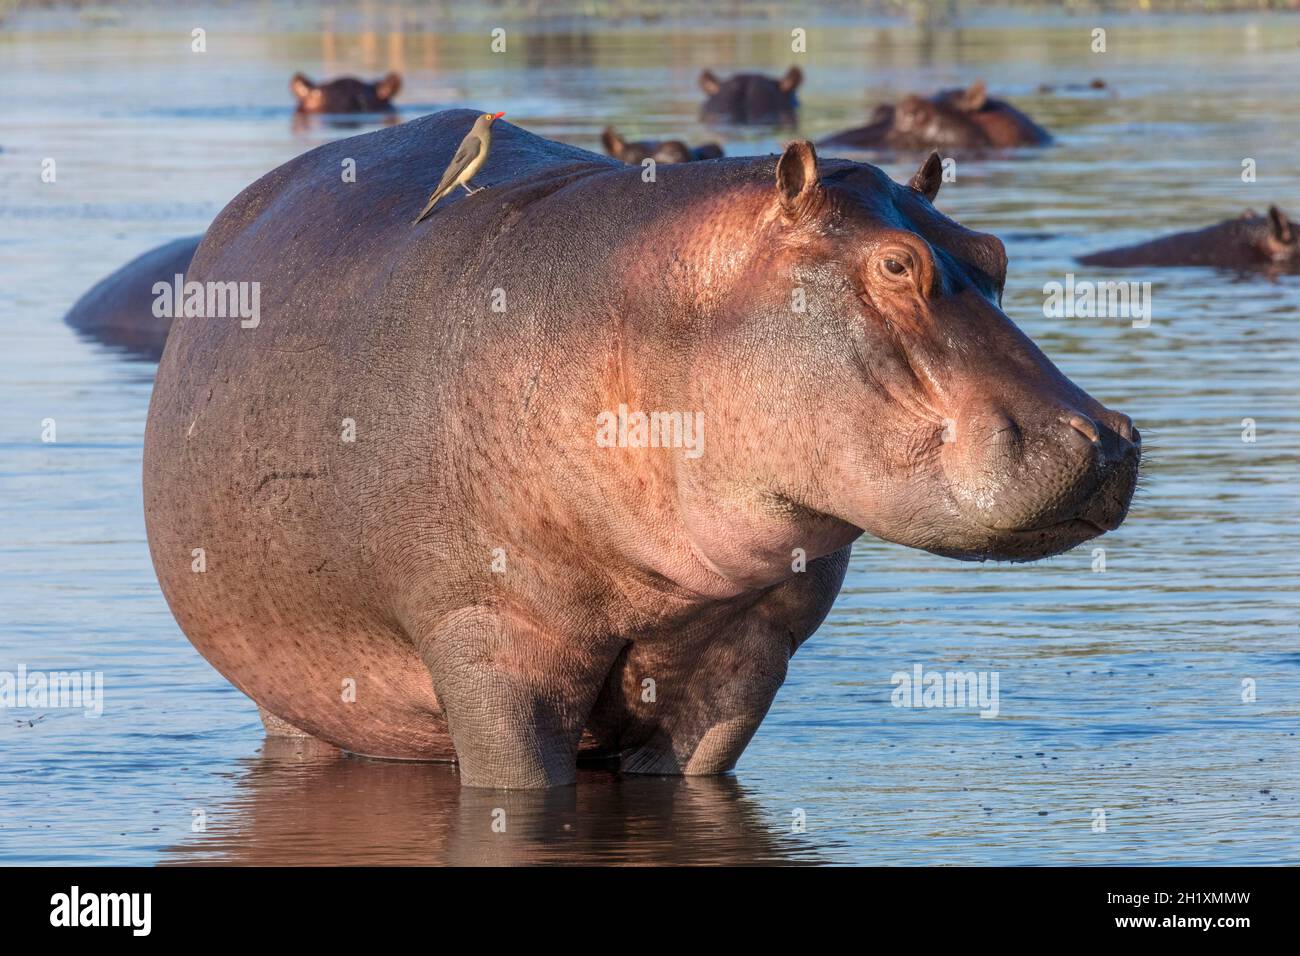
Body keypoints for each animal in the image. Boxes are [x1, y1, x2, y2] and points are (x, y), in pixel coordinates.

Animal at [143, 110, 1140, 789]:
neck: (673, 305)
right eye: (898, 264)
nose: (1100, 438)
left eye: (994, 251)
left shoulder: (751, 649)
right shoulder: (487, 638)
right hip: (293, 696)